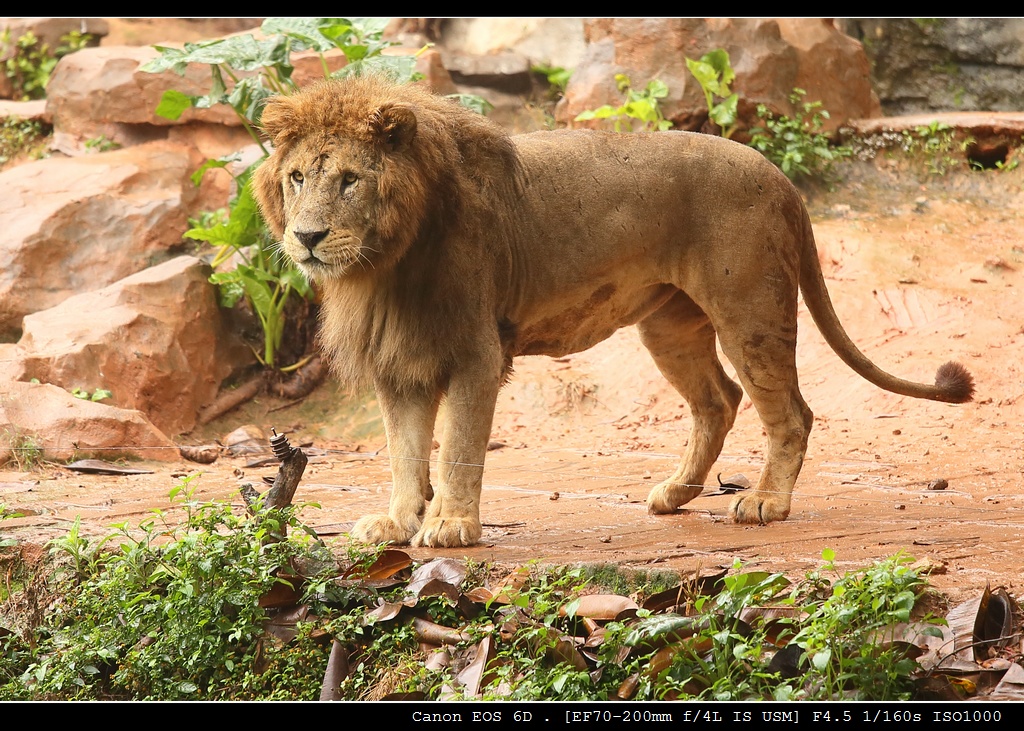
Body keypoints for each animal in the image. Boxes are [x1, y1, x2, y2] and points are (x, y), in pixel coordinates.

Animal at [249, 78, 974, 548]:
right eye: (297, 177)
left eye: (348, 180)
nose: (307, 237)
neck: (383, 263)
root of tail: (780, 177)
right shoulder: (400, 362)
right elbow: (403, 450)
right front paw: (398, 523)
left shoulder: (476, 350)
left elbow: (456, 448)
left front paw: (451, 525)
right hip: (669, 324)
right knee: (719, 400)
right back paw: (676, 491)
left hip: (749, 308)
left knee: (790, 410)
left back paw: (766, 500)